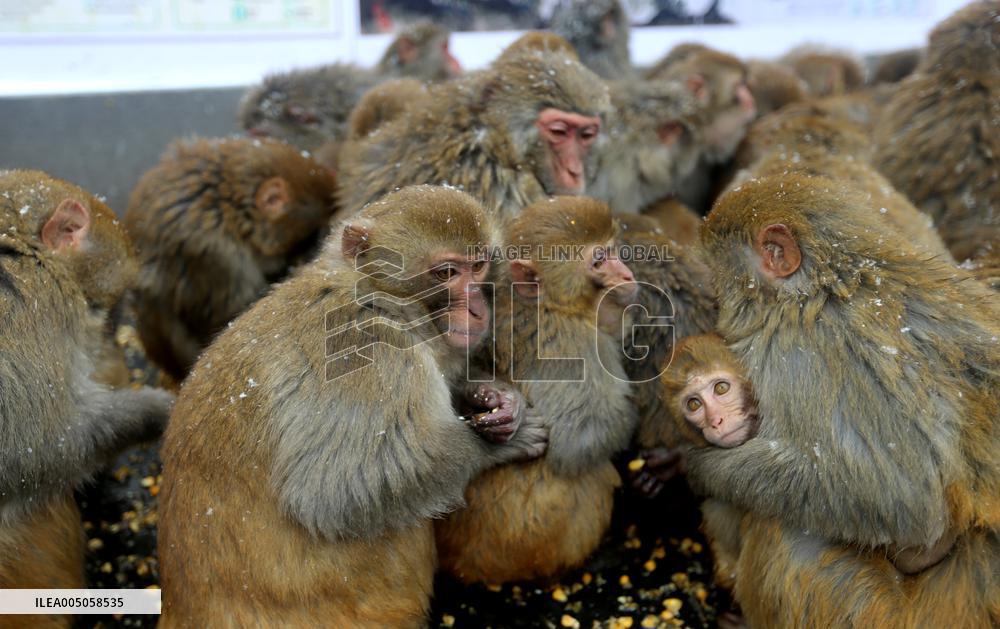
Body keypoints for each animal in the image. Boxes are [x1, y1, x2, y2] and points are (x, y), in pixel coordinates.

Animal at [157, 185, 548, 627]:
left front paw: (498, 399)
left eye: (478, 266)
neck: (377, 300)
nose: (478, 308)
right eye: (447, 273)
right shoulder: (370, 354)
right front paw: (500, 446)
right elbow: (335, 491)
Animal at [435, 196, 639, 584]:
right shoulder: (577, 349)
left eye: (613, 251)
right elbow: (580, 442)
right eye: (598, 261)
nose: (627, 277)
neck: (545, 305)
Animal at [684, 173, 1000, 627]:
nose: (713, 306)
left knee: (786, 530)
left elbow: (901, 496)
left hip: (889, 613)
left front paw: (701, 468)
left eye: (716, 279)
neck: (830, 281)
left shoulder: (798, 354)